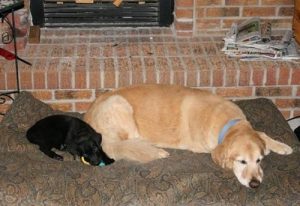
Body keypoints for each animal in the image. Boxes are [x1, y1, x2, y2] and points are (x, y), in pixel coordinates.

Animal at [84, 83, 292, 188]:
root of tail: (88, 116)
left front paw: (281, 145)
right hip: (120, 105)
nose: (255, 184)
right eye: (241, 162)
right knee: (132, 142)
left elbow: (261, 133)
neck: (227, 122)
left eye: (259, 160)